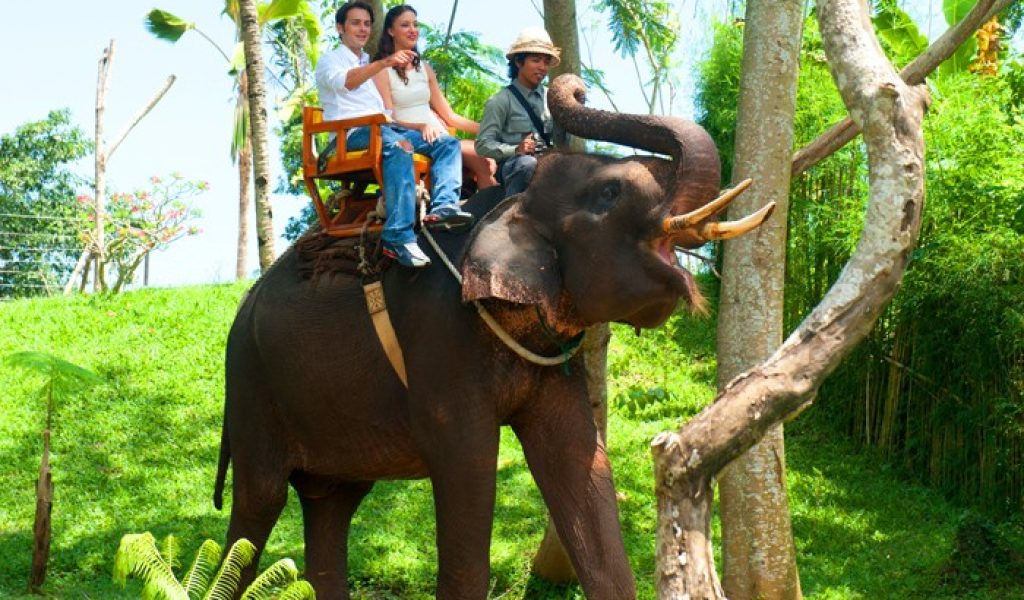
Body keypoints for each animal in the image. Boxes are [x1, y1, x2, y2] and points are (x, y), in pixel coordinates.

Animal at [213, 73, 772, 600]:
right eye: (610, 194)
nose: (576, 86)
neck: (510, 203)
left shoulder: (551, 361)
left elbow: (579, 459)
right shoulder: (440, 339)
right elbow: (467, 465)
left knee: (332, 501)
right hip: (251, 384)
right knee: (260, 500)